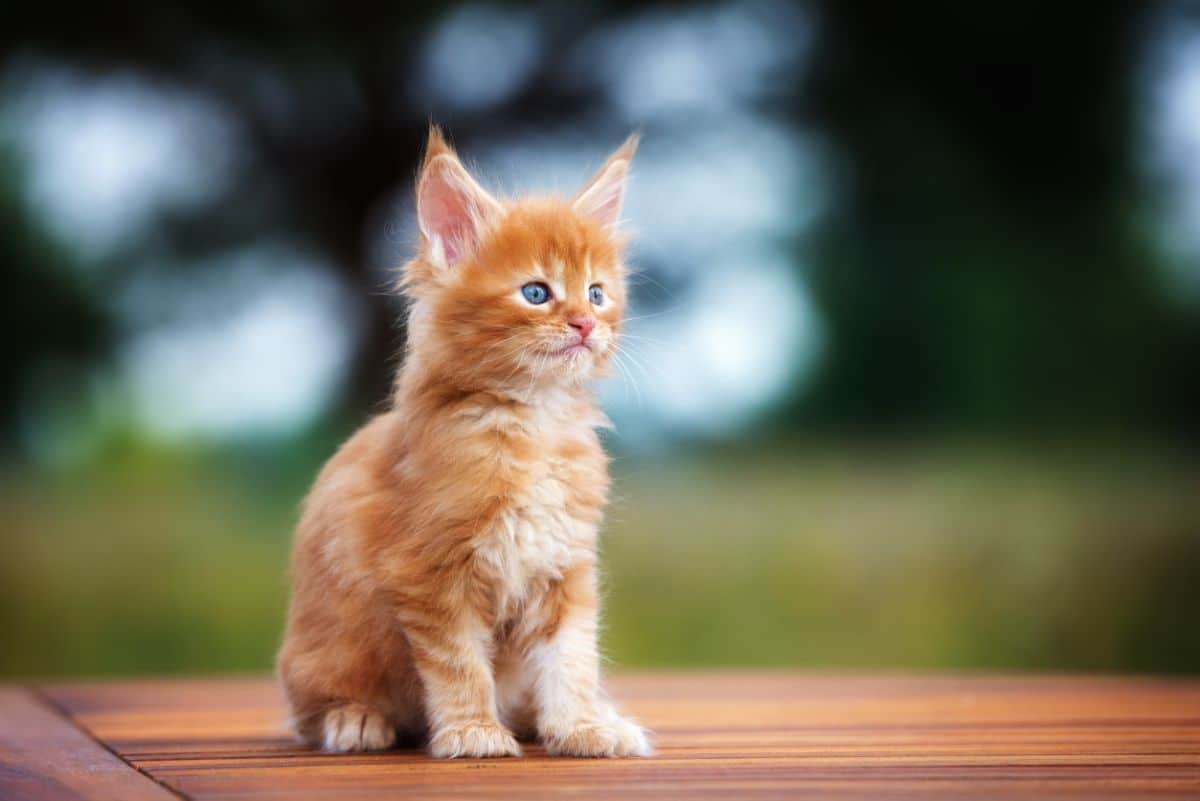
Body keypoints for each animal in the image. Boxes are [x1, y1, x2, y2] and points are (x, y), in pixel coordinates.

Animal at [276, 128, 652, 762]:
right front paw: (474, 731)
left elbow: (571, 659)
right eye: (536, 292)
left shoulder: (565, 567)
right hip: (322, 651)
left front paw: (581, 726)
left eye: (597, 294)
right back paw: (354, 719)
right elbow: (459, 664)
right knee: (310, 710)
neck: (532, 423)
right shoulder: (429, 573)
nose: (585, 324)